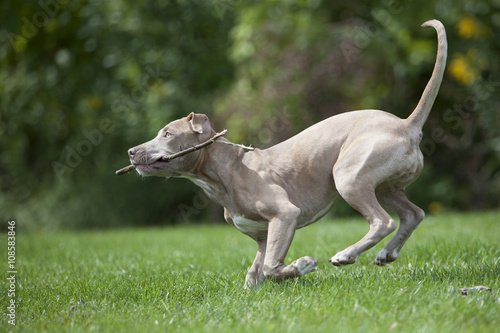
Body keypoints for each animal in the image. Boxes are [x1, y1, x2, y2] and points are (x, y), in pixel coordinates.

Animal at [124, 19, 446, 286]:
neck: (227, 169)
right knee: (413, 214)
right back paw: (386, 254)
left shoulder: (284, 214)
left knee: (383, 221)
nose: (131, 151)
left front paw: (302, 266)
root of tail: (407, 124)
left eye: (167, 134)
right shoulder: (263, 235)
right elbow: (255, 271)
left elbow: (270, 268)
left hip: (349, 177)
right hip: (384, 186)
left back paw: (346, 255)